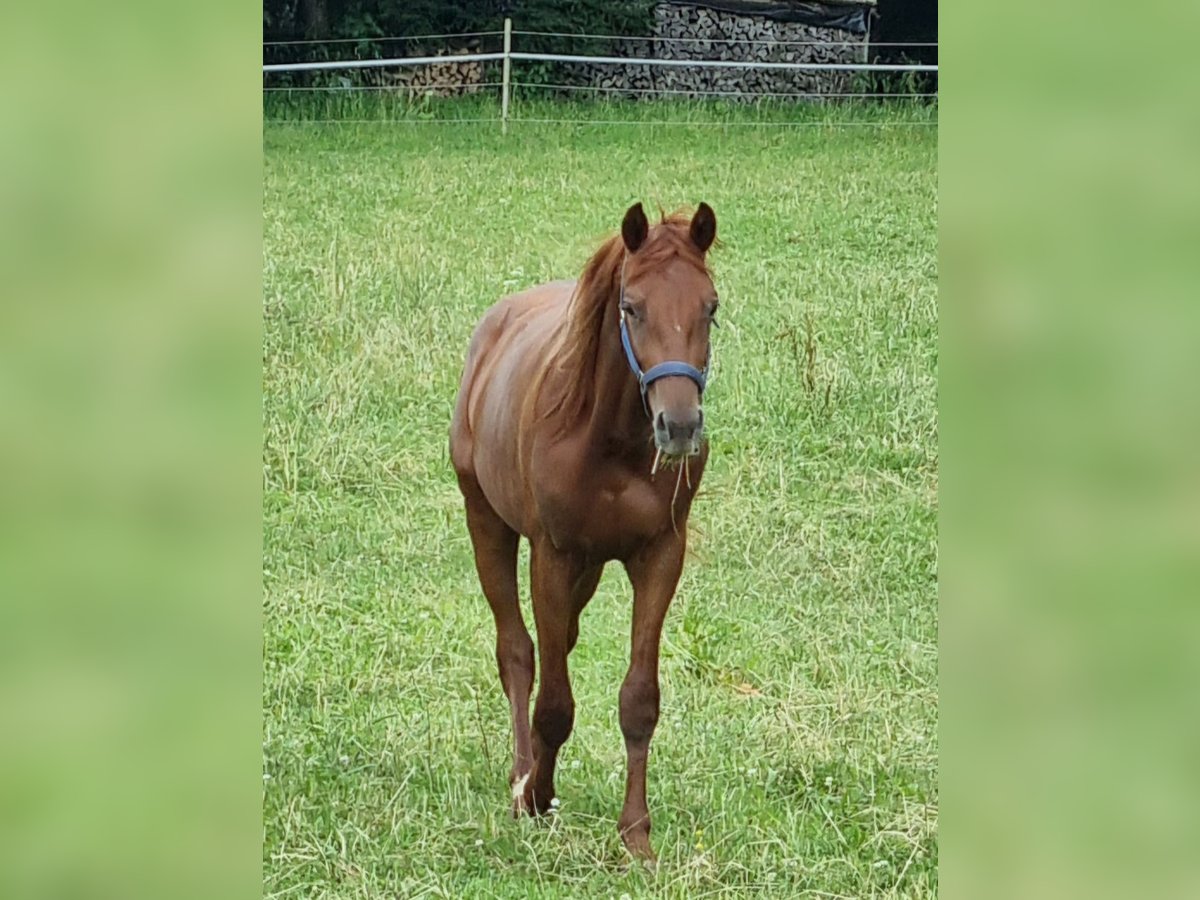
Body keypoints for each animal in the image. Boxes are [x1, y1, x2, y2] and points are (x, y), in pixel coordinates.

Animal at [446, 200, 715, 864]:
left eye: (711, 306)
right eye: (631, 307)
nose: (679, 427)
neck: (610, 441)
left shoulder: (659, 554)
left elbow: (639, 699)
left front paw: (636, 835)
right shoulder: (554, 555)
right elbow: (552, 699)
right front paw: (535, 797)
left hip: (589, 569)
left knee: (558, 642)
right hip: (486, 522)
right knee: (518, 653)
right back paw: (522, 775)